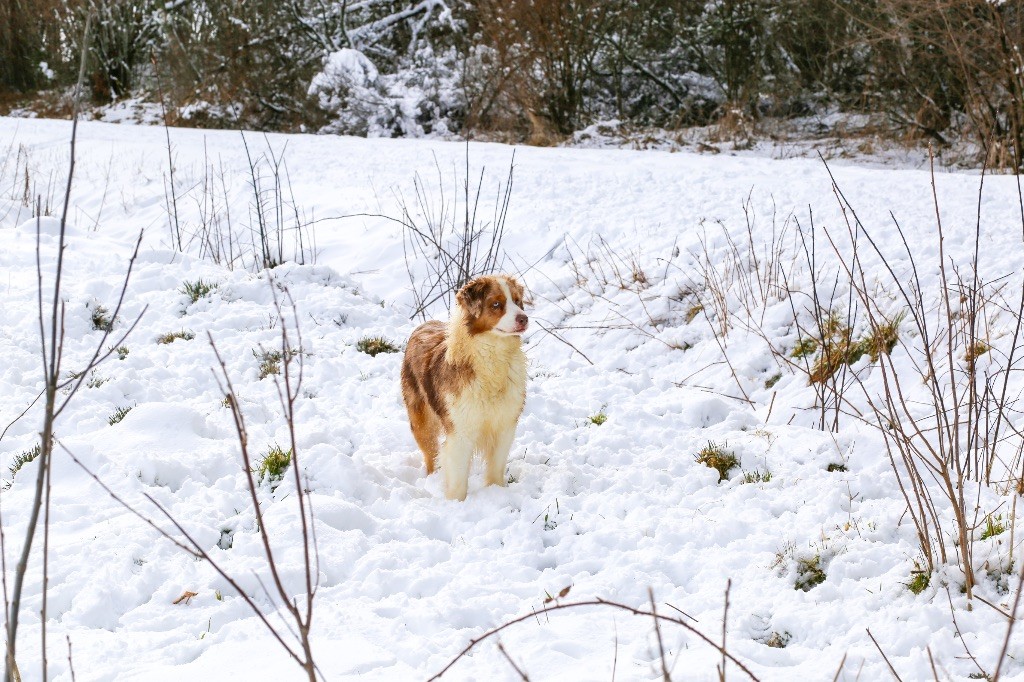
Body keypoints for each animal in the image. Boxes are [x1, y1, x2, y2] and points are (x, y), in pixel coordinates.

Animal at [399, 272, 528, 499]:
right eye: (496, 304)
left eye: (517, 301)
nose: (524, 318)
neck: (492, 357)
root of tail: (425, 323)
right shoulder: (461, 431)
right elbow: (458, 479)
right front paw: (457, 503)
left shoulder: (505, 425)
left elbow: (496, 469)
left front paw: (496, 493)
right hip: (422, 421)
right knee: (431, 454)